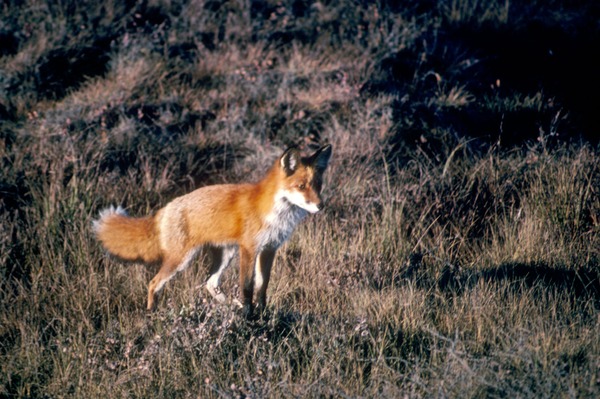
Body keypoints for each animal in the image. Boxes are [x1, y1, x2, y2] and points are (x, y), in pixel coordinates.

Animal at [92, 145, 332, 318]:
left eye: (318, 185)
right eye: (301, 186)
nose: (321, 206)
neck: (275, 212)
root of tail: (164, 210)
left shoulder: (269, 249)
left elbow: (262, 286)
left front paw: (262, 313)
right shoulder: (249, 248)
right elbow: (247, 287)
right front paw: (249, 316)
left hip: (225, 254)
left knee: (210, 283)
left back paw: (230, 307)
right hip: (182, 260)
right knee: (153, 283)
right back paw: (151, 313)